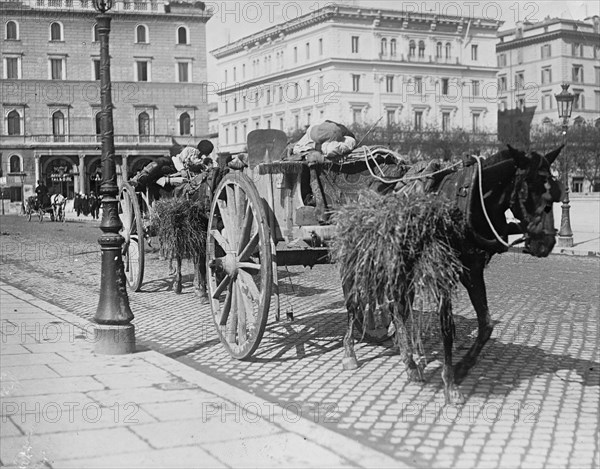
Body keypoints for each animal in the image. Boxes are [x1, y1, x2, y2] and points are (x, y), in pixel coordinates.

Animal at [340, 144, 564, 404]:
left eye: (555, 194)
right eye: (528, 190)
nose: (545, 243)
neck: (470, 202)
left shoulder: (473, 271)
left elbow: (486, 324)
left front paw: (461, 368)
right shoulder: (442, 274)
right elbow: (447, 328)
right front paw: (449, 383)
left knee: (399, 309)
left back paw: (410, 359)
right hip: (360, 260)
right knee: (354, 301)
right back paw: (351, 351)